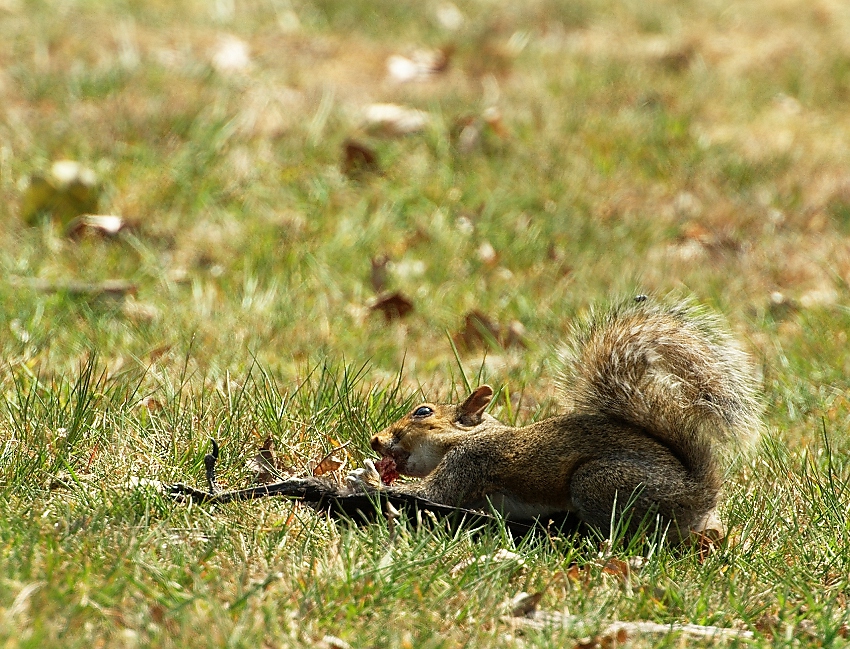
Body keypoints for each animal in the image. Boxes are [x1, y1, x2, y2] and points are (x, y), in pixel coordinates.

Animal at [348, 298, 760, 540]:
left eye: (423, 412)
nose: (375, 440)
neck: (471, 437)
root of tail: (697, 492)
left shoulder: (470, 463)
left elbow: (430, 495)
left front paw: (365, 477)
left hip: (600, 482)